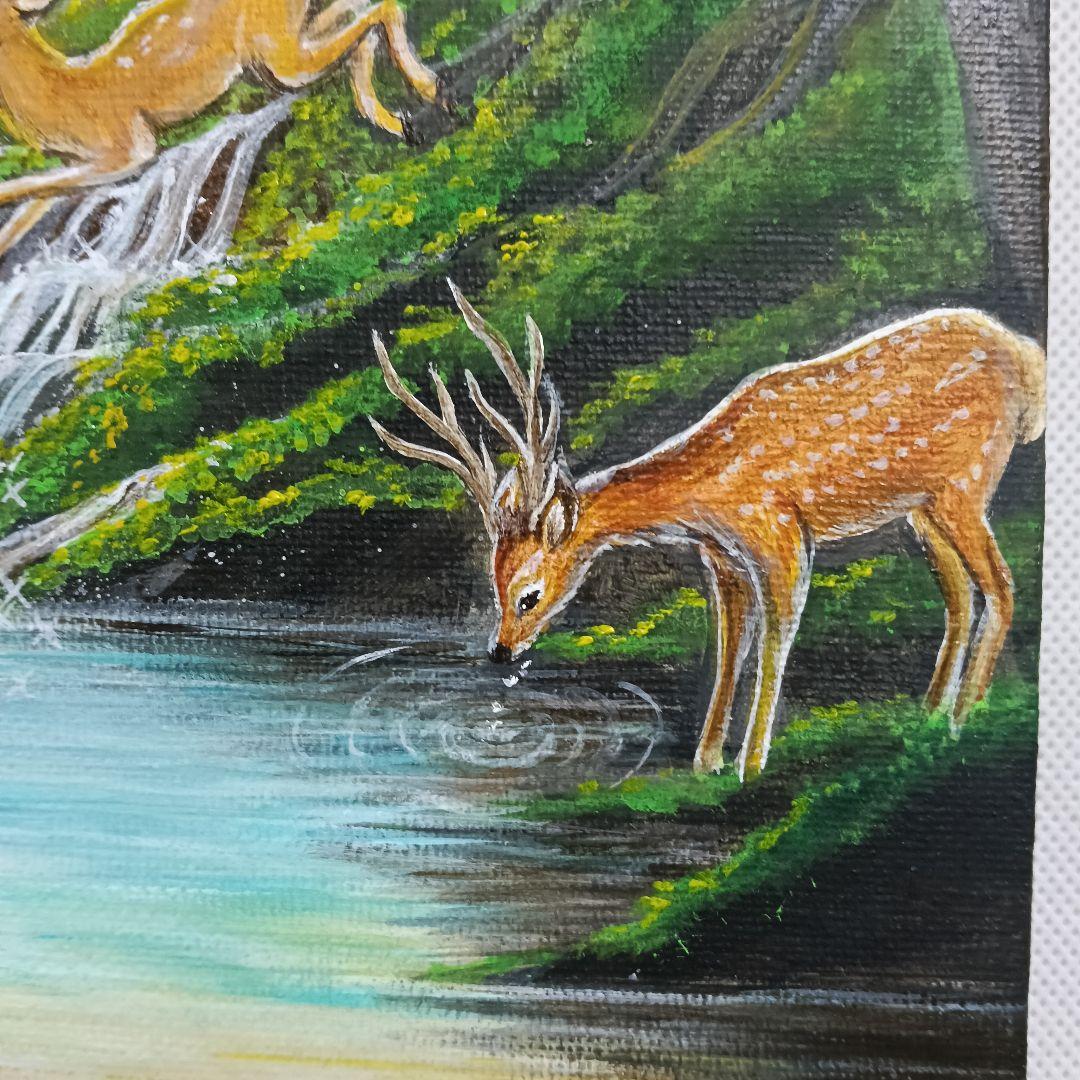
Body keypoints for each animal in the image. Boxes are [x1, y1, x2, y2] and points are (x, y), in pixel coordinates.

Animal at [0, 0, 444, 259]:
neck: (58, 96)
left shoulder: (128, 146)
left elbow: (26, 185)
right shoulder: (72, 160)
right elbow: (32, 203)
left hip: (276, 54)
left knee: (380, 11)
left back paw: (428, 86)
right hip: (285, 38)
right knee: (358, 17)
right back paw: (398, 120)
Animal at [370, 283, 1046, 780]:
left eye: (529, 594)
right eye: (492, 581)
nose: (500, 651)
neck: (712, 492)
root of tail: (1026, 357)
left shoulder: (780, 533)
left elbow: (776, 639)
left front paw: (751, 765)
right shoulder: (719, 557)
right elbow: (729, 647)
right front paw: (705, 761)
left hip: (967, 482)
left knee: (1002, 586)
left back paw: (962, 719)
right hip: (920, 508)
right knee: (960, 593)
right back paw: (927, 716)